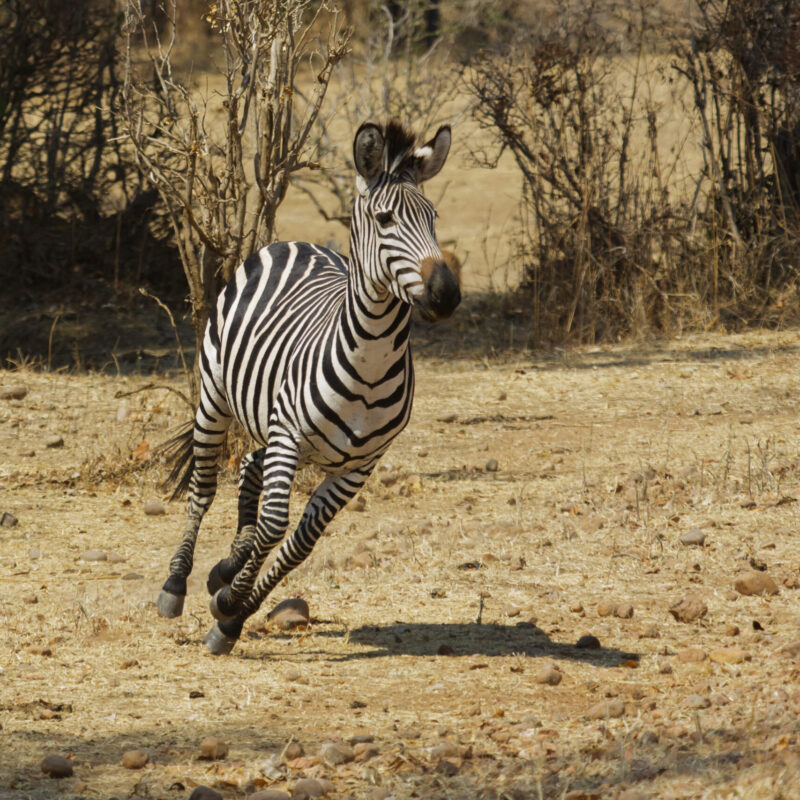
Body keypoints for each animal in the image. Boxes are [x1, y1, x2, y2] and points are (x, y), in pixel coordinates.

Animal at [157, 120, 460, 655]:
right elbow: (275, 526)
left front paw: (231, 613)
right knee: (204, 486)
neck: (371, 363)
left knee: (248, 466)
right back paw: (177, 582)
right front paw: (228, 601)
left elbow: (298, 544)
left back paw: (226, 567)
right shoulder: (290, 434)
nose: (447, 295)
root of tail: (293, 243)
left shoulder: (359, 467)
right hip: (217, 397)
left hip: (280, 429)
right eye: (384, 219)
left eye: (433, 218)